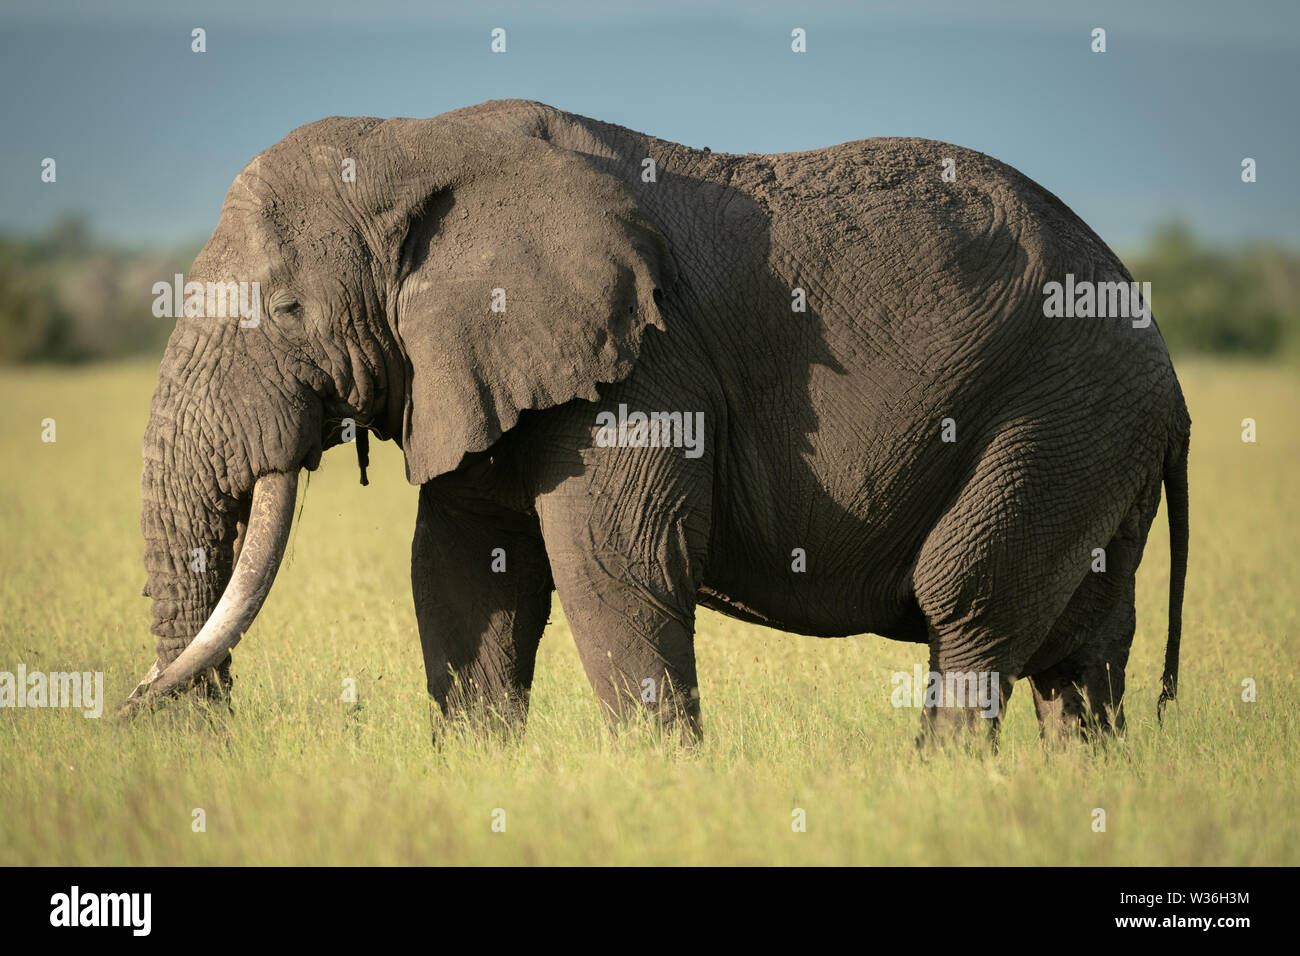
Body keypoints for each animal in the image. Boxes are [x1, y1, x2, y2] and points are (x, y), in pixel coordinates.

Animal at [121, 99, 1190, 747]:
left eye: (288, 310)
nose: (132, 711)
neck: (415, 141)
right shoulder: (480, 369)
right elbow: (464, 573)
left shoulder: (641, 367)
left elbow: (617, 565)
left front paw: (660, 780)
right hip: (1099, 442)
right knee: (1083, 653)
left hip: (1055, 420)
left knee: (970, 604)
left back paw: (942, 787)